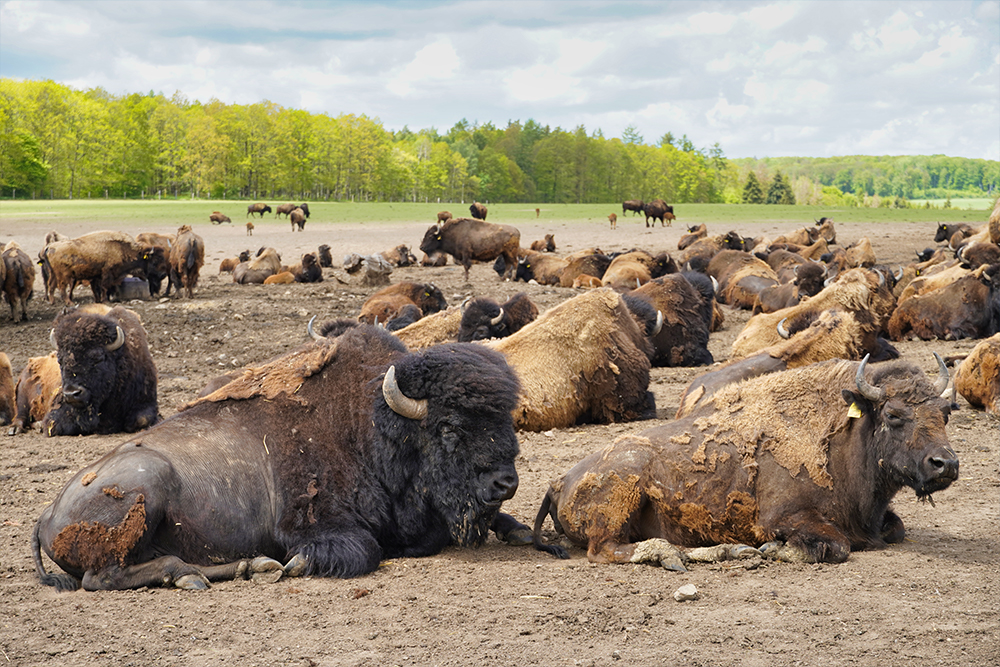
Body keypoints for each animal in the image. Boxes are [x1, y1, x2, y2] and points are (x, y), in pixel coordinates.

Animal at [31, 326, 528, 592]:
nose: (505, 483)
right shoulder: (310, 523)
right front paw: (299, 565)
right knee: (102, 576)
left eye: (505, 419)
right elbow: (362, 549)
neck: (367, 424)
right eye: (449, 427)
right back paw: (198, 575)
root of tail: (45, 515)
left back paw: (250, 567)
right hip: (144, 486)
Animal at [536, 354, 956, 568]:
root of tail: (560, 481)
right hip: (623, 494)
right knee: (608, 550)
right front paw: (773, 550)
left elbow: (896, 528)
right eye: (894, 415)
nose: (946, 464)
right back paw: (685, 555)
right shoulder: (782, 518)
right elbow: (836, 547)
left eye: (945, 413)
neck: (842, 435)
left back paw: (730, 551)